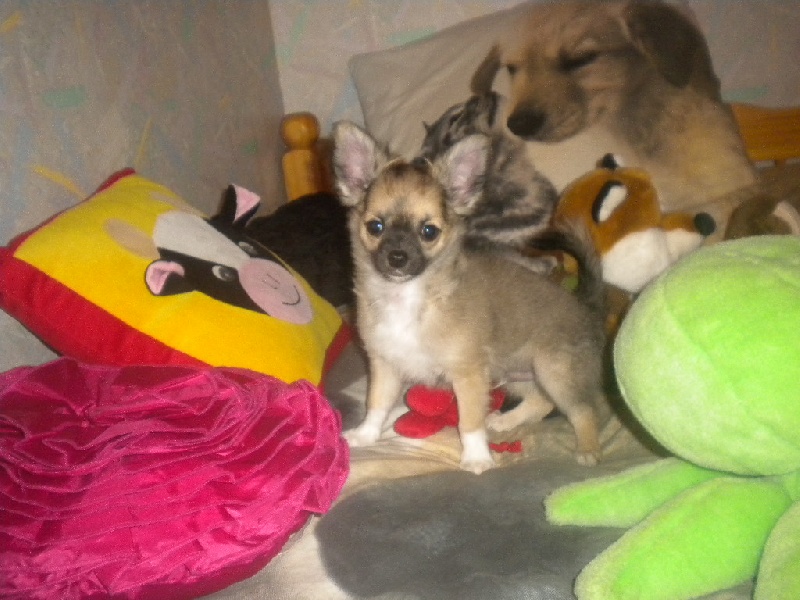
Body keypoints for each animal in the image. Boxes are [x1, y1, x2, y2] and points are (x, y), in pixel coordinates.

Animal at [333, 120, 607, 474]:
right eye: (375, 227)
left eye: (429, 231)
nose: (397, 258)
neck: (410, 299)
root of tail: (587, 308)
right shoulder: (385, 365)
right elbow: (376, 404)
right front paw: (365, 435)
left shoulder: (469, 374)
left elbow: (470, 421)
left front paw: (477, 457)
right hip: (517, 373)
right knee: (541, 400)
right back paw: (506, 421)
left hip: (554, 371)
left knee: (583, 410)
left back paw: (587, 449)